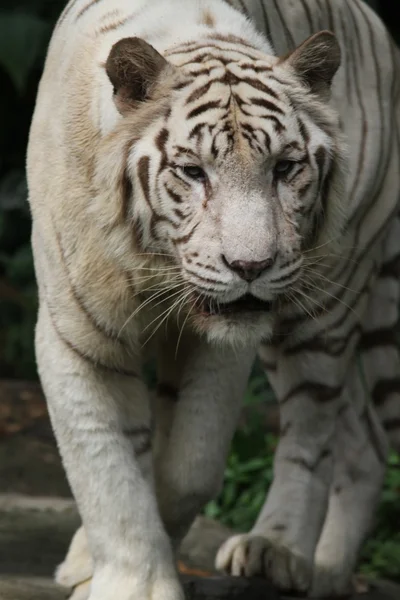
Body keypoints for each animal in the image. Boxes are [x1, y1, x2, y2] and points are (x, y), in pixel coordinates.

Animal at [27, 1, 400, 600]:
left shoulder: (221, 348)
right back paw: (328, 569)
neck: (157, 265)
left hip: (322, 299)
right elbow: (107, 469)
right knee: (361, 434)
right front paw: (131, 581)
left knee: (315, 427)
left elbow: (188, 468)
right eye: (193, 172)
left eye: (285, 168)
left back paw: (279, 550)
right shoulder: (78, 337)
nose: (251, 267)